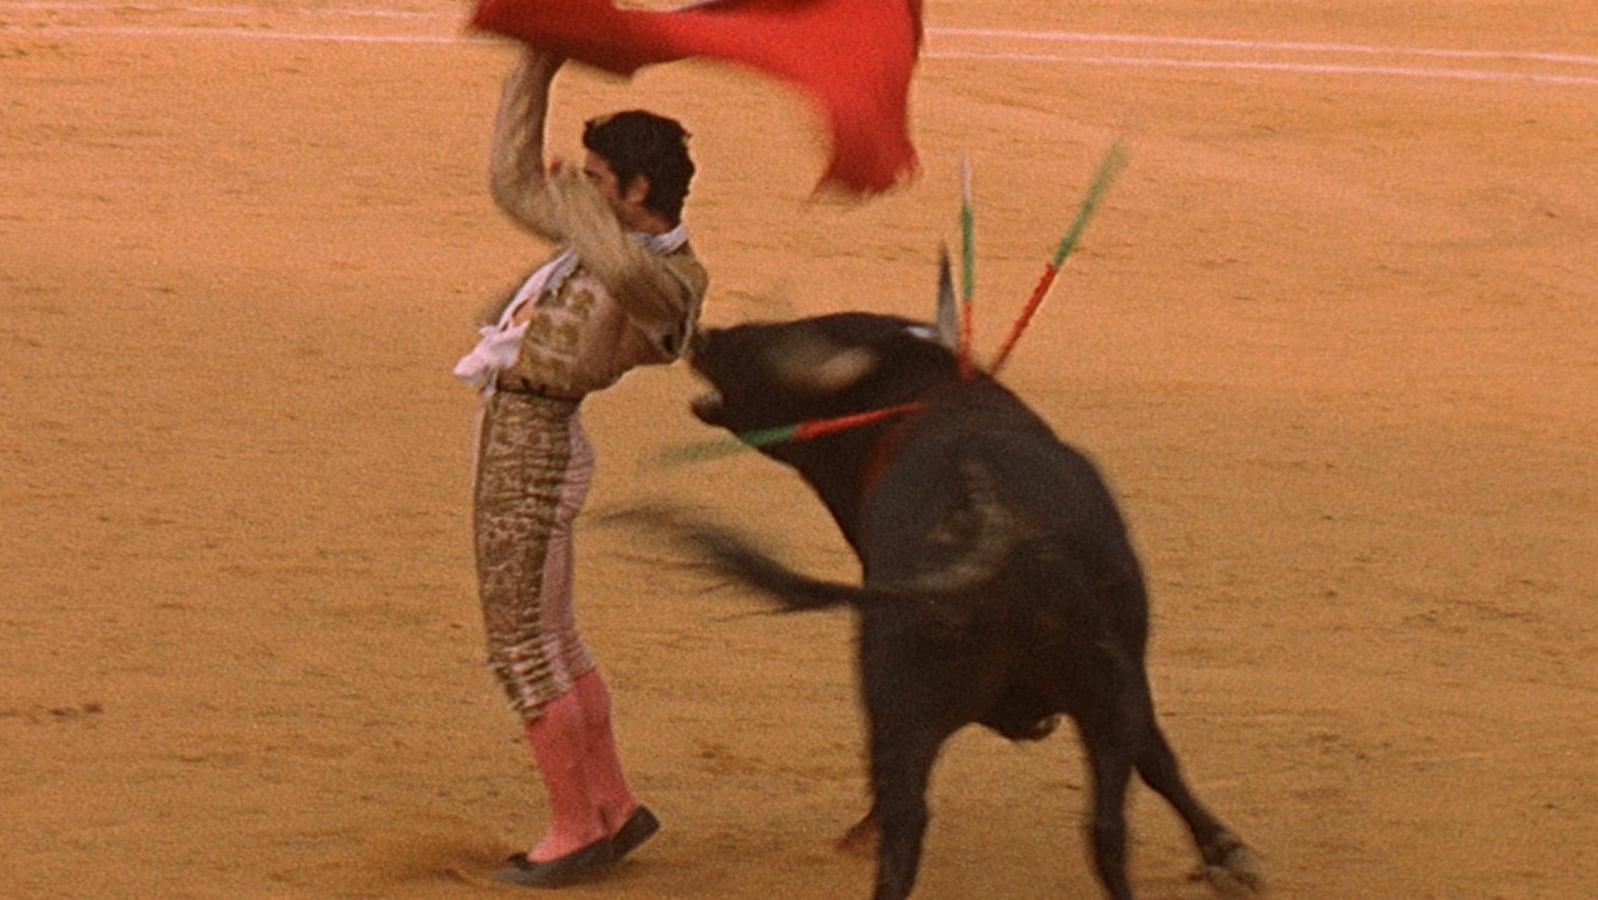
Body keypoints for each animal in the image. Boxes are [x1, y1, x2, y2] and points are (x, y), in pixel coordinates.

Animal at [672, 257, 1263, 900]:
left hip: (915, 708)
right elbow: (1157, 757)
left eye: (765, 350)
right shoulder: (1127, 673)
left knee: (908, 825)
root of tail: (996, 542)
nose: (703, 335)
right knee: (1106, 830)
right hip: (1095, 690)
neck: (925, 400)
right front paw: (1225, 851)